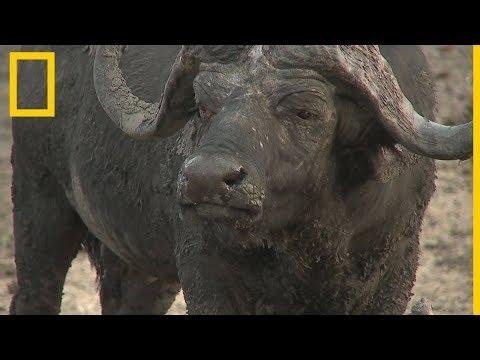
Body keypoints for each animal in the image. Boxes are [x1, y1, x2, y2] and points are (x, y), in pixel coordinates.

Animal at [10, 45, 472, 316]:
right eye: (202, 104)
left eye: (306, 111)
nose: (207, 178)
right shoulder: (207, 274)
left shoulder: (395, 270)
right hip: (38, 200)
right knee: (35, 292)